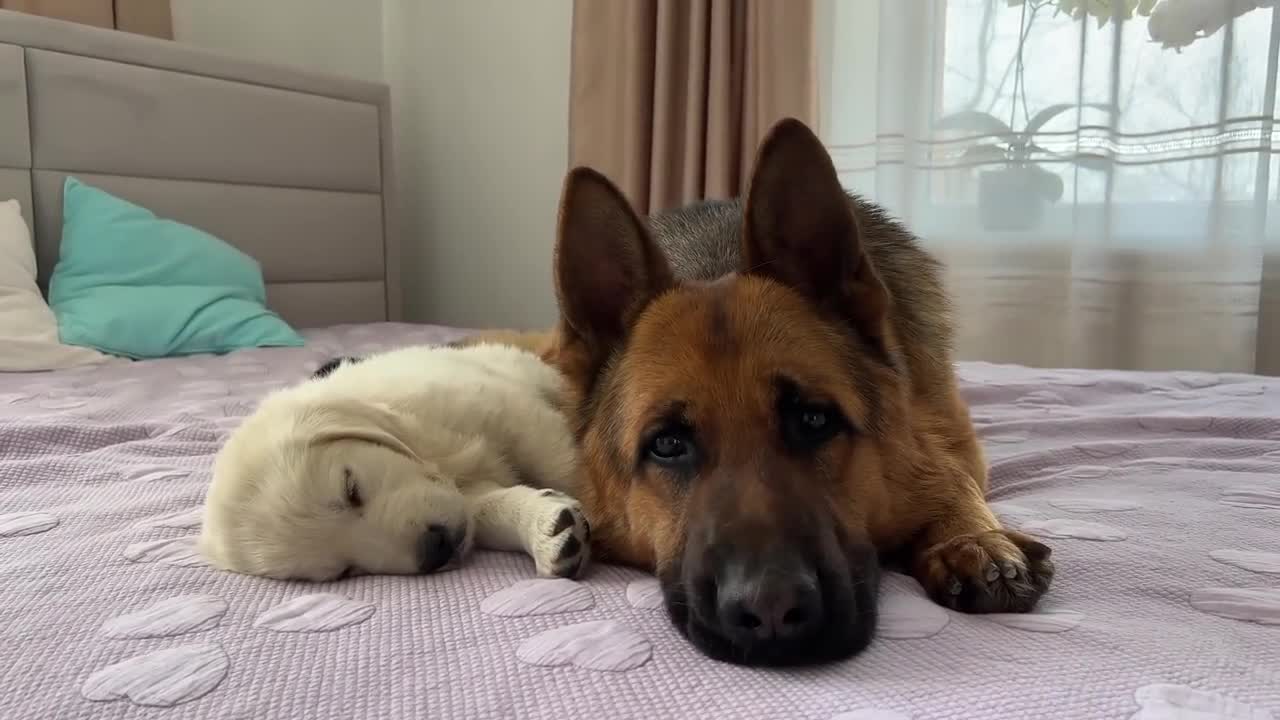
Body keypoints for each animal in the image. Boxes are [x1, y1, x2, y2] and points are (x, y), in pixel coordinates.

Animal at [197, 338, 586, 579]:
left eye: (351, 488)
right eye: (344, 572)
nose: (435, 550)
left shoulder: (508, 412)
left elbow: (559, 462)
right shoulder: (465, 495)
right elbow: (489, 508)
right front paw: (545, 529)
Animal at [471, 116, 1049, 661]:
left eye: (814, 419)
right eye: (667, 444)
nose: (773, 609)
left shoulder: (943, 448)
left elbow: (955, 483)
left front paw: (972, 537)